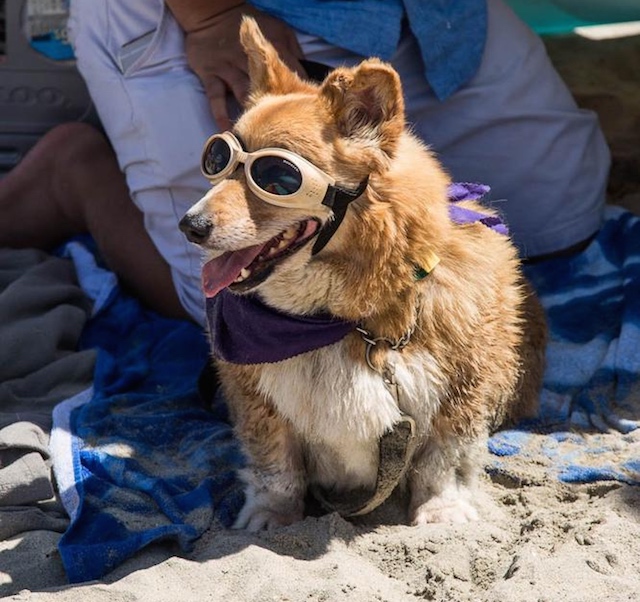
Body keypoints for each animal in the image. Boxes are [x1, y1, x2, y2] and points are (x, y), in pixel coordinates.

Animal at [180, 16, 544, 528]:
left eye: (277, 178)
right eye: (217, 159)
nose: (189, 226)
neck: (344, 321)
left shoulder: (462, 395)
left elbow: (443, 462)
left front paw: (442, 512)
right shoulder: (257, 401)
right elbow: (276, 465)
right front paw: (271, 517)